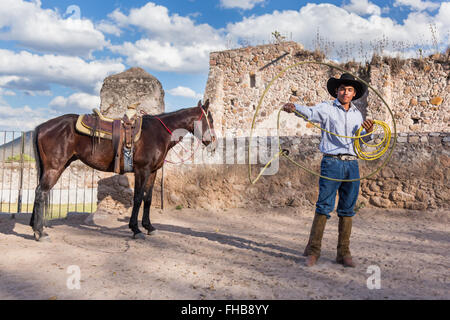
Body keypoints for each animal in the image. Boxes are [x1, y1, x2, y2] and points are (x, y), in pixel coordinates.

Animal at [30, 99, 216, 240]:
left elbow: (148, 199)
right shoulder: (142, 171)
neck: (158, 133)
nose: (213, 143)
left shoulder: (153, 172)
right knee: (41, 193)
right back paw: (40, 232)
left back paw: (34, 226)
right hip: (54, 168)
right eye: (211, 120)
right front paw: (136, 229)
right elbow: (138, 198)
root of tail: (42, 126)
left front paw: (149, 227)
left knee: (39, 192)